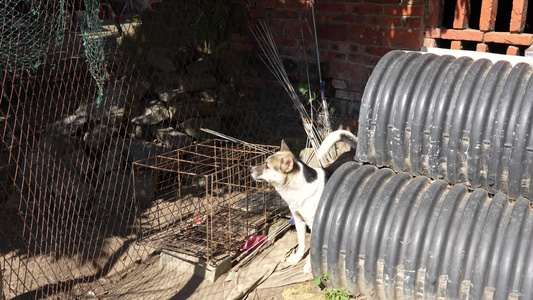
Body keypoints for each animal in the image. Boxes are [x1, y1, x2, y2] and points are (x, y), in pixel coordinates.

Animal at [250, 130, 358, 274]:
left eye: (267, 166)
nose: (250, 170)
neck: (298, 187)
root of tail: (354, 150)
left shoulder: (314, 225)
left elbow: (312, 248)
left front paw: (308, 265)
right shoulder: (299, 221)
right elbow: (301, 244)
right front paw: (297, 258)